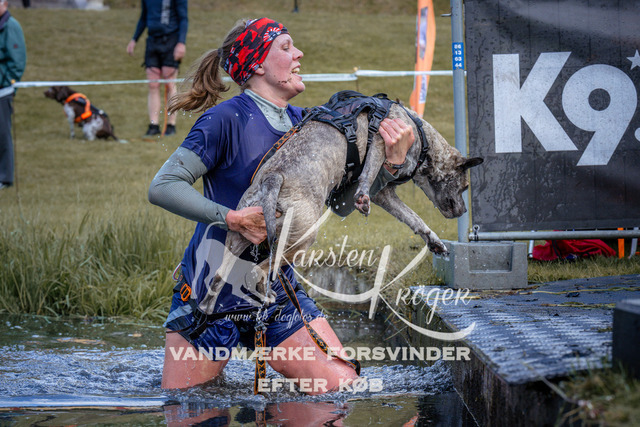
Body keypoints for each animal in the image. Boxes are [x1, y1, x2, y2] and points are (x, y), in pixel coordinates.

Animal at [198, 95, 483, 313]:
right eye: (465, 187)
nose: (463, 211)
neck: (422, 136)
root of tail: (272, 177)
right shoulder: (381, 140)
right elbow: (368, 176)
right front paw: (362, 198)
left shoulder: (385, 194)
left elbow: (414, 218)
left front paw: (435, 242)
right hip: (301, 239)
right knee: (256, 273)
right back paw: (264, 296)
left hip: (239, 236)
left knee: (219, 278)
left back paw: (207, 309)